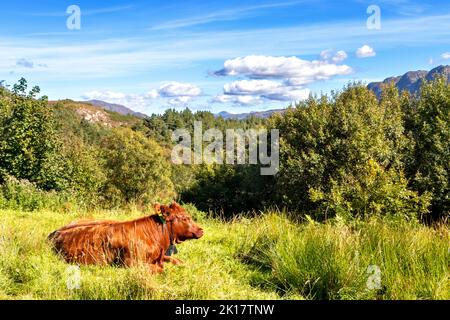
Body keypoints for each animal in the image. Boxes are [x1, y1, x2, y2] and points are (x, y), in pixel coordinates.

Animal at [47, 202, 204, 272]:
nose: (201, 230)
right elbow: (161, 268)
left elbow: (177, 260)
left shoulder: (160, 256)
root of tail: (55, 232)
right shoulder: (131, 264)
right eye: (185, 218)